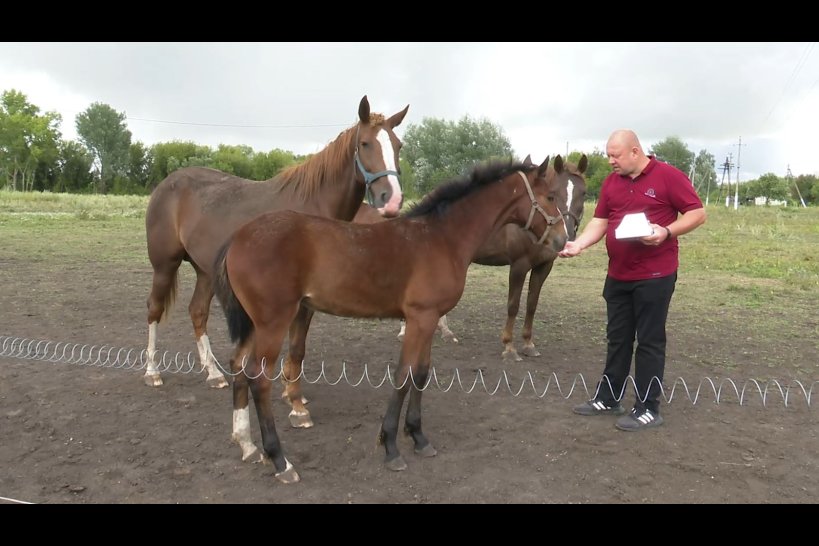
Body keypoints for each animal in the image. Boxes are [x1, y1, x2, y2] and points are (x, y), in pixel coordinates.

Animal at [144, 96, 410, 386]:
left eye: (398, 145)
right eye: (365, 143)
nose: (392, 199)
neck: (313, 204)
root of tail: (167, 183)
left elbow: (297, 347)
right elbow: (294, 347)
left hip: (204, 271)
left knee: (197, 312)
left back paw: (214, 374)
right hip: (164, 265)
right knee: (154, 309)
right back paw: (152, 372)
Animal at [215, 157, 568, 480]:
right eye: (551, 196)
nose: (562, 240)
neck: (442, 238)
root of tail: (238, 237)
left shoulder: (429, 318)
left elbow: (421, 374)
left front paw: (419, 437)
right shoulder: (420, 318)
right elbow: (403, 376)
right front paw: (391, 446)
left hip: (254, 325)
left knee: (239, 368)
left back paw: (248, 446)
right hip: (273, 323)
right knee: (259, 378)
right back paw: (280, 460)